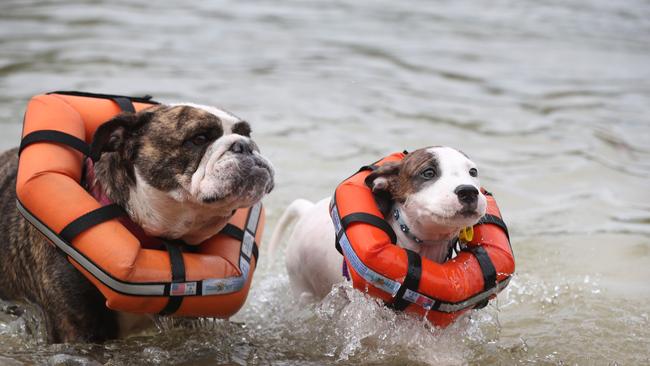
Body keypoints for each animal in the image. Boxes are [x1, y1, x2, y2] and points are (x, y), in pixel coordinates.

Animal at [268, 146, 486, 300]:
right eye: (428, 173)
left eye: (473, 172)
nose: (468, 191)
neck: (425, 244)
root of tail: (308, 209)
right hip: (300, 284)